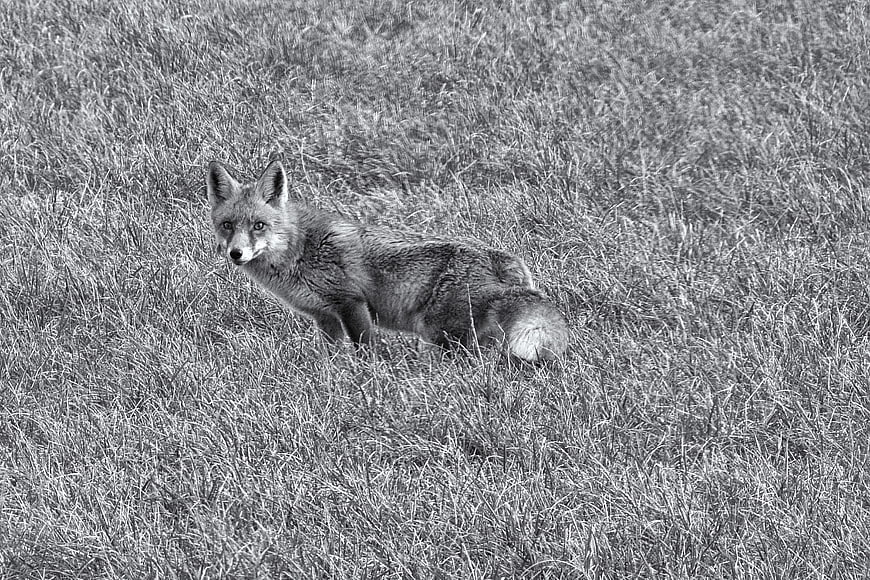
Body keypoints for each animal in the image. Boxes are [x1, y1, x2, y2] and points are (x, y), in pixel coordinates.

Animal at [206, 159, 569, 362]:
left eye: (258, 225)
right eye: (228, 225)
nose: (236, 254)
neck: (299, 249)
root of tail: (506, 263)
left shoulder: (351, 304)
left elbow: (366, 352)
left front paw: (366, 380)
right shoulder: (324, 317)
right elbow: (331, 357)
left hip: (440, 335)